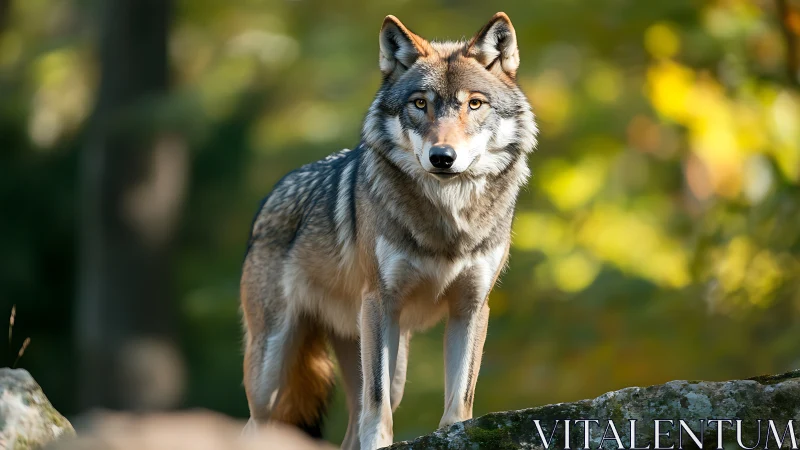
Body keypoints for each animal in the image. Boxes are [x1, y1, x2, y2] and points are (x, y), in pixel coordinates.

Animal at [240, 12, 537, 449]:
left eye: (474, 103)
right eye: (420, 103)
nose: (442, 157)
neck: (448, 217)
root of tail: (270, 197)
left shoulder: (470, 307)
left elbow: (459, 399)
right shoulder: (380, 301)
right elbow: (376, 404)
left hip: (382, 357)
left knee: (353, 424)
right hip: (272, 372)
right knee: (261, 422)